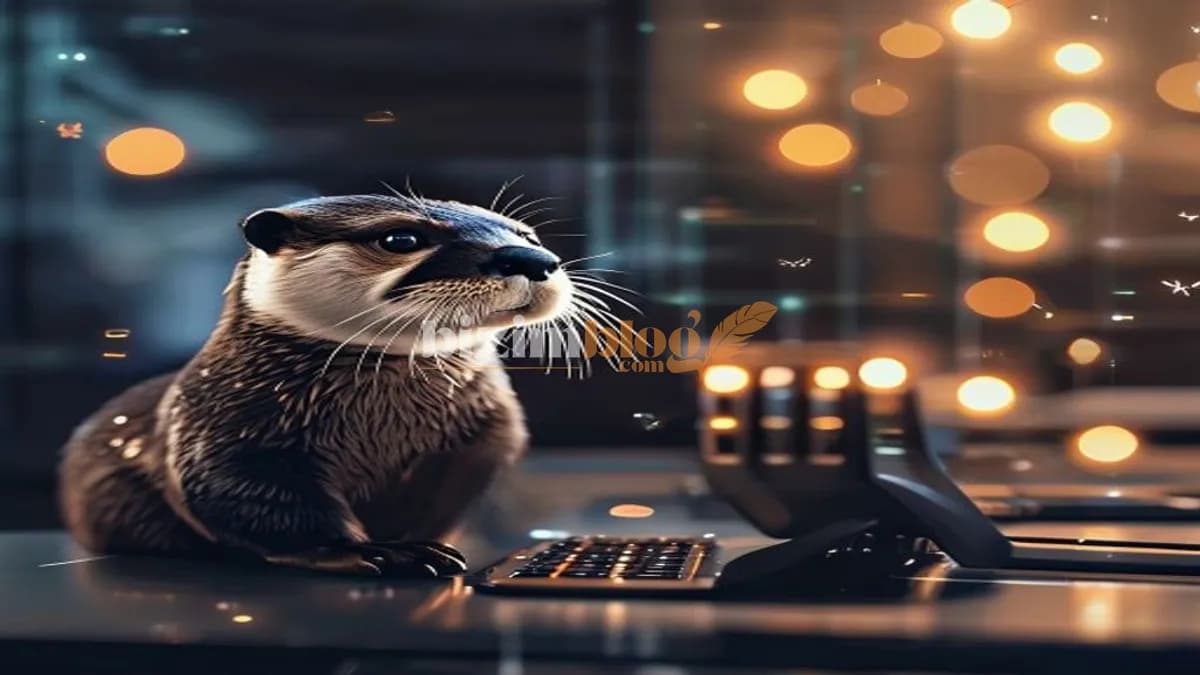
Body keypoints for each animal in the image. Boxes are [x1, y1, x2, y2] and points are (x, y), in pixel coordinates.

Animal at [58, 192, 578, 577]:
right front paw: (377, 552)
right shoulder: (222, 428)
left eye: (526, 234)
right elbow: (248, 500)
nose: (534, 258)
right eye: (402, 238)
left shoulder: (483, 440)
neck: (381, 426)